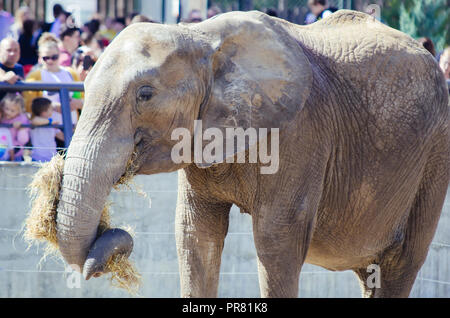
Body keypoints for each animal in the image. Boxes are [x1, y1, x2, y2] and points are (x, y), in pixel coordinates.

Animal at [55, 10, 450, 298]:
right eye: (83, 86)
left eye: (145, 94)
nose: (114, 236)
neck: (200, 36)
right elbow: (194, 234)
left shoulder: (301, 134)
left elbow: (276, 241)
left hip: (434, 156)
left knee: (401, 262)